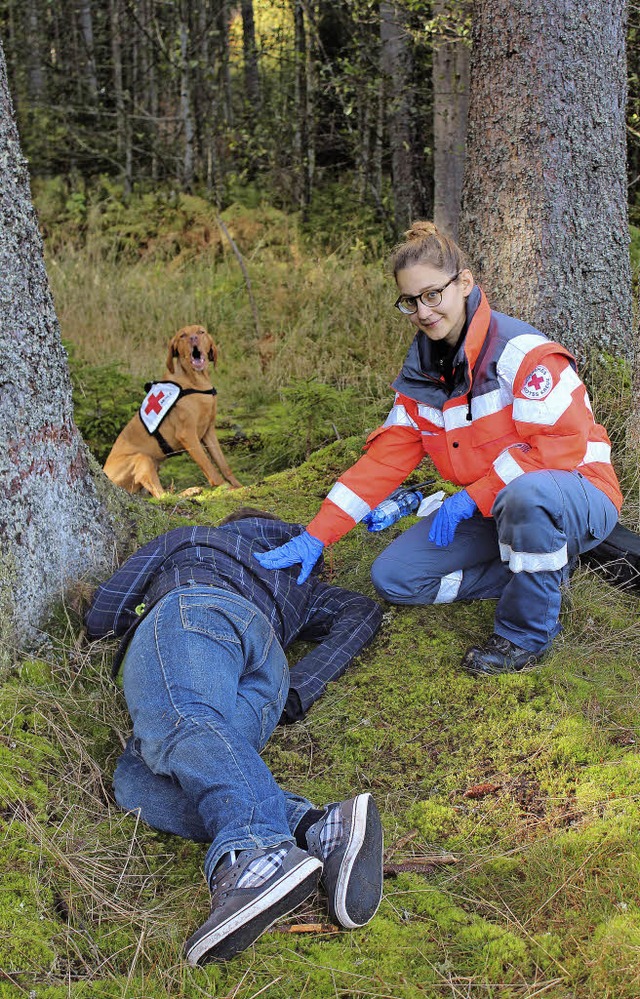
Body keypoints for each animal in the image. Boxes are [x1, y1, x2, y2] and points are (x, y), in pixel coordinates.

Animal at [104, 326, 241, 498]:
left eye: (201, 332)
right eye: (183, 335)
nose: (193, 338)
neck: (197, 381)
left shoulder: (208, 432)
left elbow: (223, 465)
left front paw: (239, 486)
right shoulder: (187, 435)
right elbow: (209, 468)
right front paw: (225, 488)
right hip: (142, 458)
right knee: (162, 495)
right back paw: (190, 491)